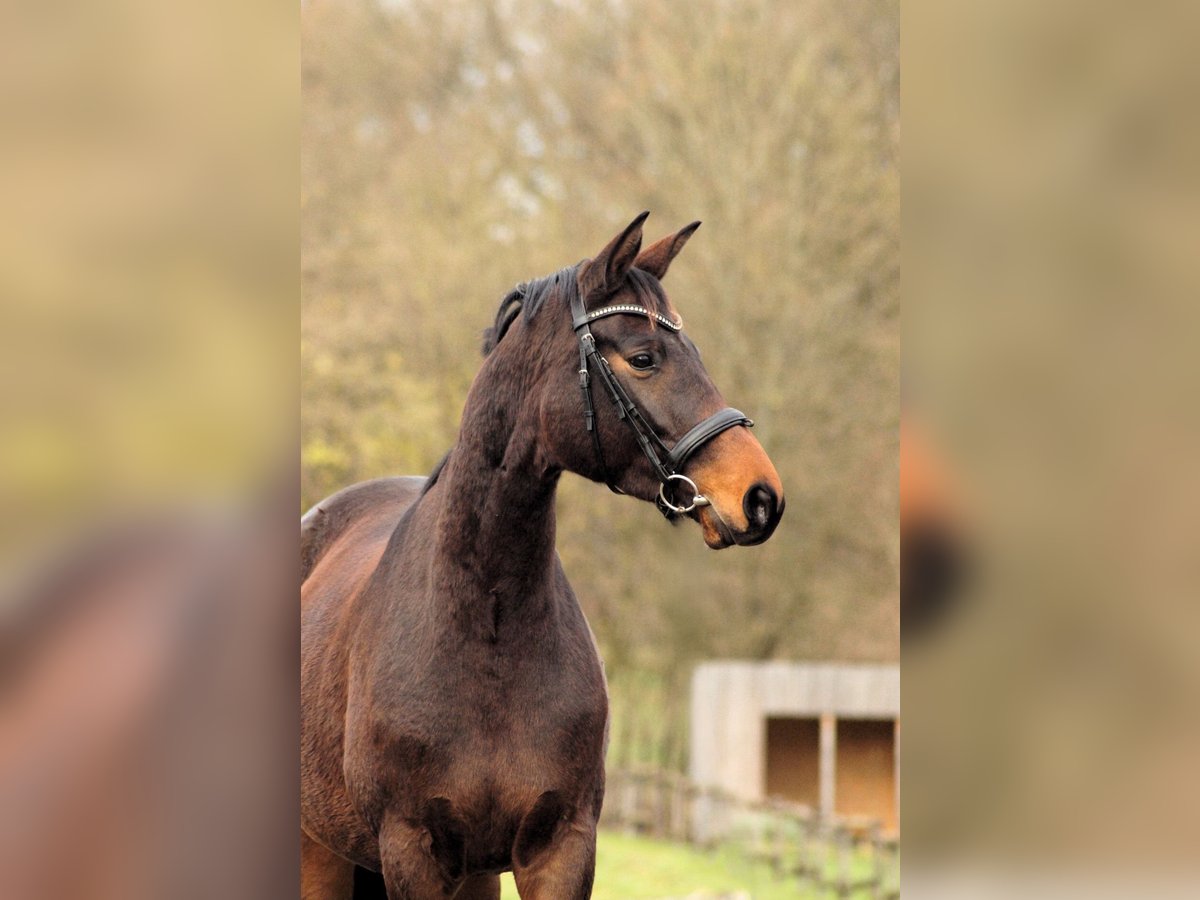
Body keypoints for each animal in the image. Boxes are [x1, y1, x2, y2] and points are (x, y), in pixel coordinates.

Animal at [300, 214, 787, 897]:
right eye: (643, 358)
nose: (761, 497)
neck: (487, 628)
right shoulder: (411, 851)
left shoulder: (559, 847)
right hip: (318, 852)